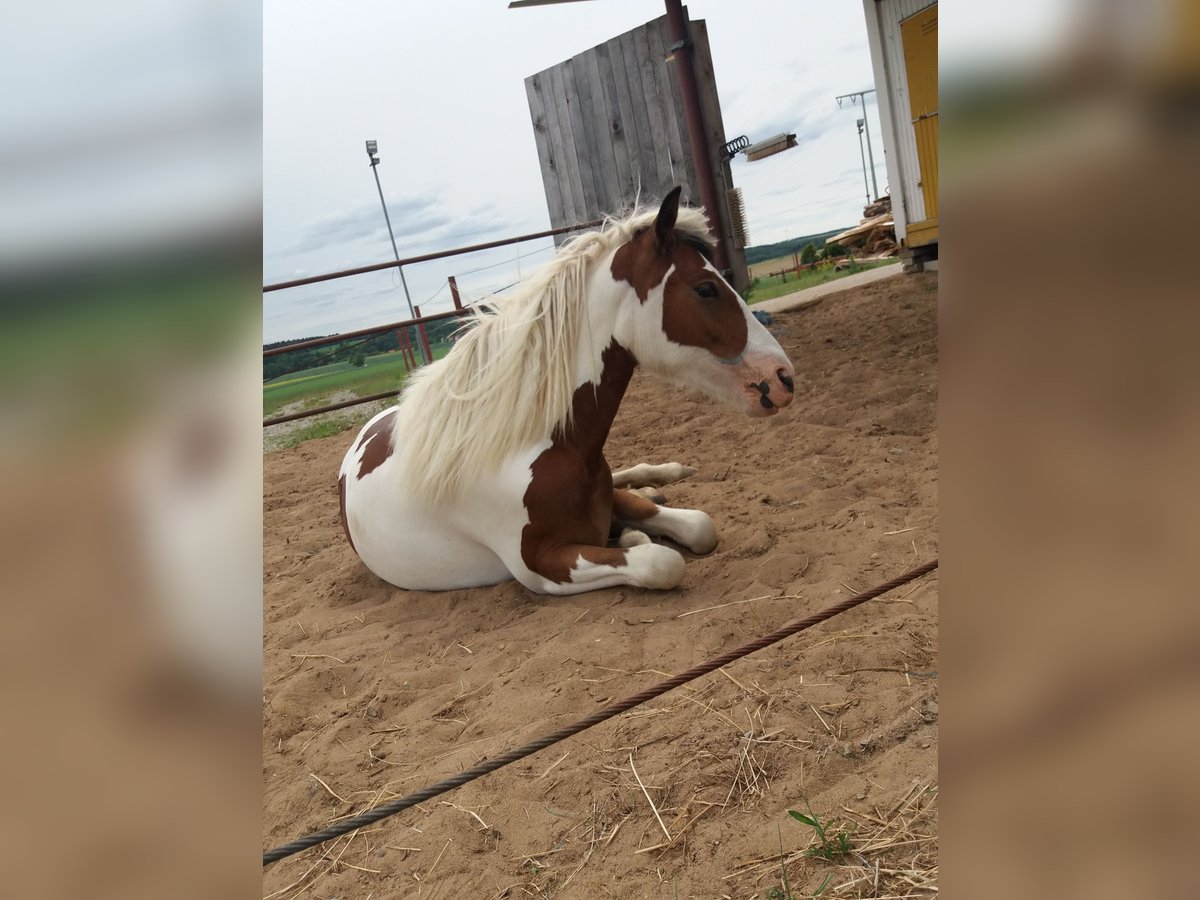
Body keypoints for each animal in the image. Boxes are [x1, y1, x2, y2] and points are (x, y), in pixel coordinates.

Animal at [338, 188, 796, 600]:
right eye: (705, 288)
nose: (783, 377)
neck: (539, 446)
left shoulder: (611, 502)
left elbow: (700, 525)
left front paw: (643, 513)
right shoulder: (542, 567)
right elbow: (661, 562)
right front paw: (632, 538)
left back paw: (662, 477)